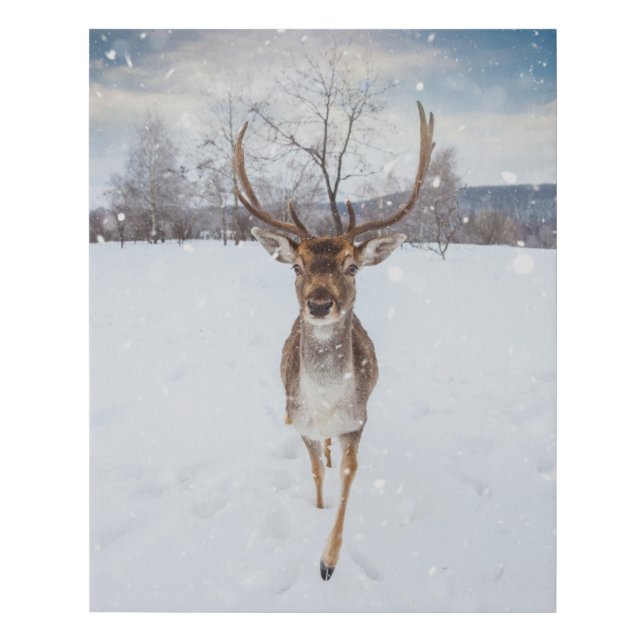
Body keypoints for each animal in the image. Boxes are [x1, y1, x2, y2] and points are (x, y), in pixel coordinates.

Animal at [234, 102, 435, 580]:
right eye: (297, 266)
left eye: (352, 266)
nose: (320, 304)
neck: (324, 404)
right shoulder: (302, 423)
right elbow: (316, 475)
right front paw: (318, 509)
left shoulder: (357, 421)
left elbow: (348, 476)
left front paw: (328, 561)